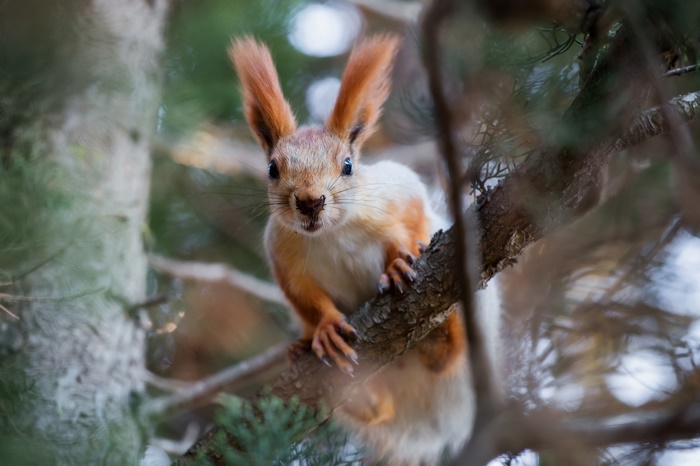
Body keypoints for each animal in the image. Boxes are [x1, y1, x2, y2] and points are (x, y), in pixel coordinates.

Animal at [230, 34, 498, 465]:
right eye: (272, 168)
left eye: (347, 165)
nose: (310, 202)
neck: (330, 234)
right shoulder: (283, 258)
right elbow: (304, 298)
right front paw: (324, 328)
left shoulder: (399, 194)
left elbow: (410, 223)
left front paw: (397, 266)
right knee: (377, 412)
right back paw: (311, 358)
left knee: (449, 355)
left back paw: (444, 335)